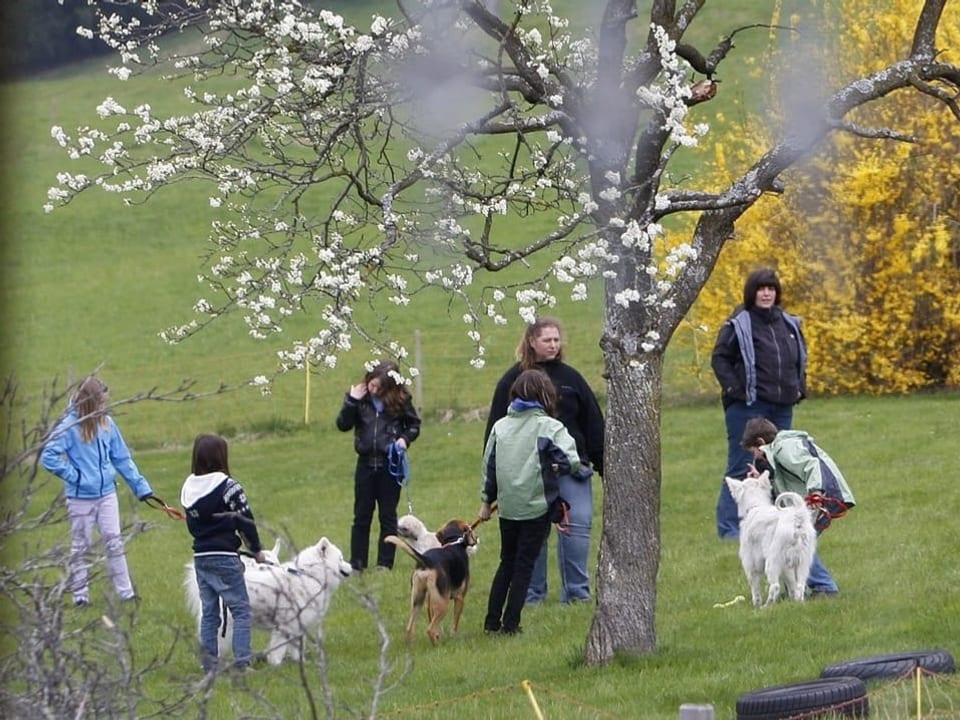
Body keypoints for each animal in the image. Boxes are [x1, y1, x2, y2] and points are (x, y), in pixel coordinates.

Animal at [184, 536, 352, 668]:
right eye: (341, 559)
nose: (352, 566)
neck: (311, 575)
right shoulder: (285, 626)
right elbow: (279, 648)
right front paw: (276, 664)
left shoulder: (297, 625)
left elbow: (296, 646)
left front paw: (300, 662)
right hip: (227, 626)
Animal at [384, 516, 478, 648]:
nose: (476, 539)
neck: (454, 543)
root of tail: (426, 560)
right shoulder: (460, 598)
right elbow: (454, 623)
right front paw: (452, 637)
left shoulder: (431, 600)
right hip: (443, 604)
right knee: (430, 629)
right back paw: (437, 646)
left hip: (417, 600)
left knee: (410, 628)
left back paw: (410, 648)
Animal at [724, 470, 812, 604]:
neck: (755, 506)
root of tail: (797, 517)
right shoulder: (787, 567)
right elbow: (792, 585)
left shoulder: (750, 564)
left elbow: (755, 588)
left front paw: (756, 604)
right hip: (803, 562)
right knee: (800, 586)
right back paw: (798, 602)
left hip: (772, 561)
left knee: (775, 586)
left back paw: (767, 605)